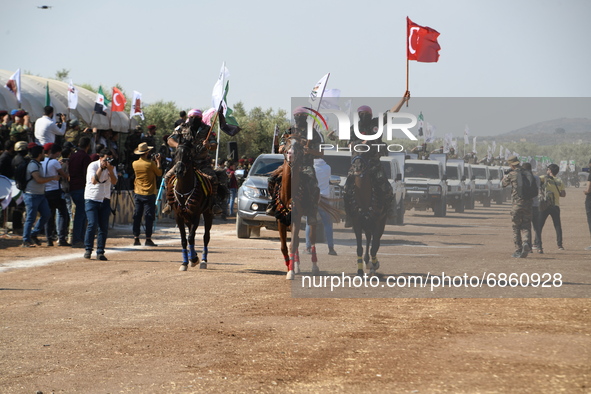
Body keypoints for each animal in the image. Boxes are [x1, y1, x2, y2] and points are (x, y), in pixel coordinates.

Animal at [165, 143, 214, 272]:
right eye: (175, 153)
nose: (178, 171)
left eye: (188, 155)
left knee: (206, 236)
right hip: (187, 218)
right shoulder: (179, 217)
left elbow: (191, 237)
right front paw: (185, 263)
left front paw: (194, 259)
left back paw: (203, 261)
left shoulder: (196, 215)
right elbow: (183, 240)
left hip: (208, 214)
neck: (184, 190)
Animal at [272, 135, 322, 280]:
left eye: (299, 146)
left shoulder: (297, 217)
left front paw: (291, 272)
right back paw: (296, 265)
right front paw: (289, 267)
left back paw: (314, 267)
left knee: (312, 238)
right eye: (286, 144)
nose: (290, 154)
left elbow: (293, 244)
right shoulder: (281, 219)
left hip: (311, 214)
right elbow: (284, 246)